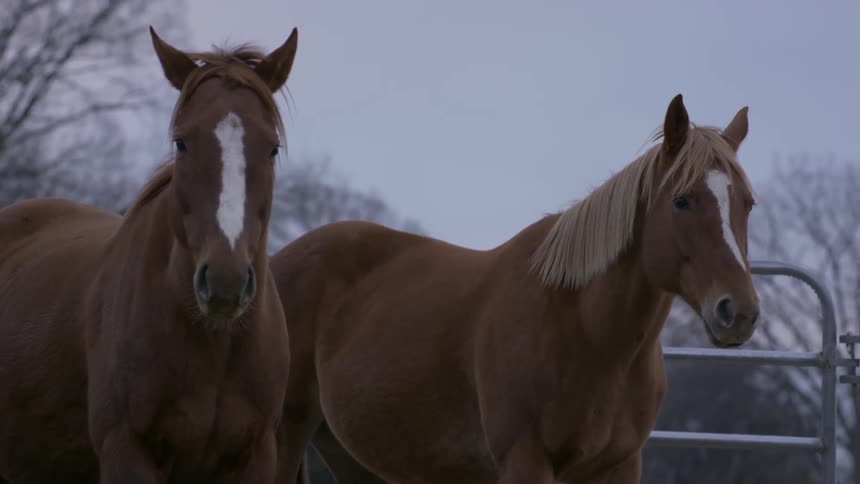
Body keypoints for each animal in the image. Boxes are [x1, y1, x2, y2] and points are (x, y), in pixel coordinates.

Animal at [0, 26, 298, 484]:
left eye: (272, 148)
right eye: (182, 142)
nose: (225, 282)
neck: (213, 344)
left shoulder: (256, 458)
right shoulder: (128, 450)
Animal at [271, 94, 760, 484]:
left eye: (748, 203)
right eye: (681, 200)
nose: (738, 312)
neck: (589, 334)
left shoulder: (619, 466)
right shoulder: (525, 460)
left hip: (350, 452)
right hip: (284, 433)